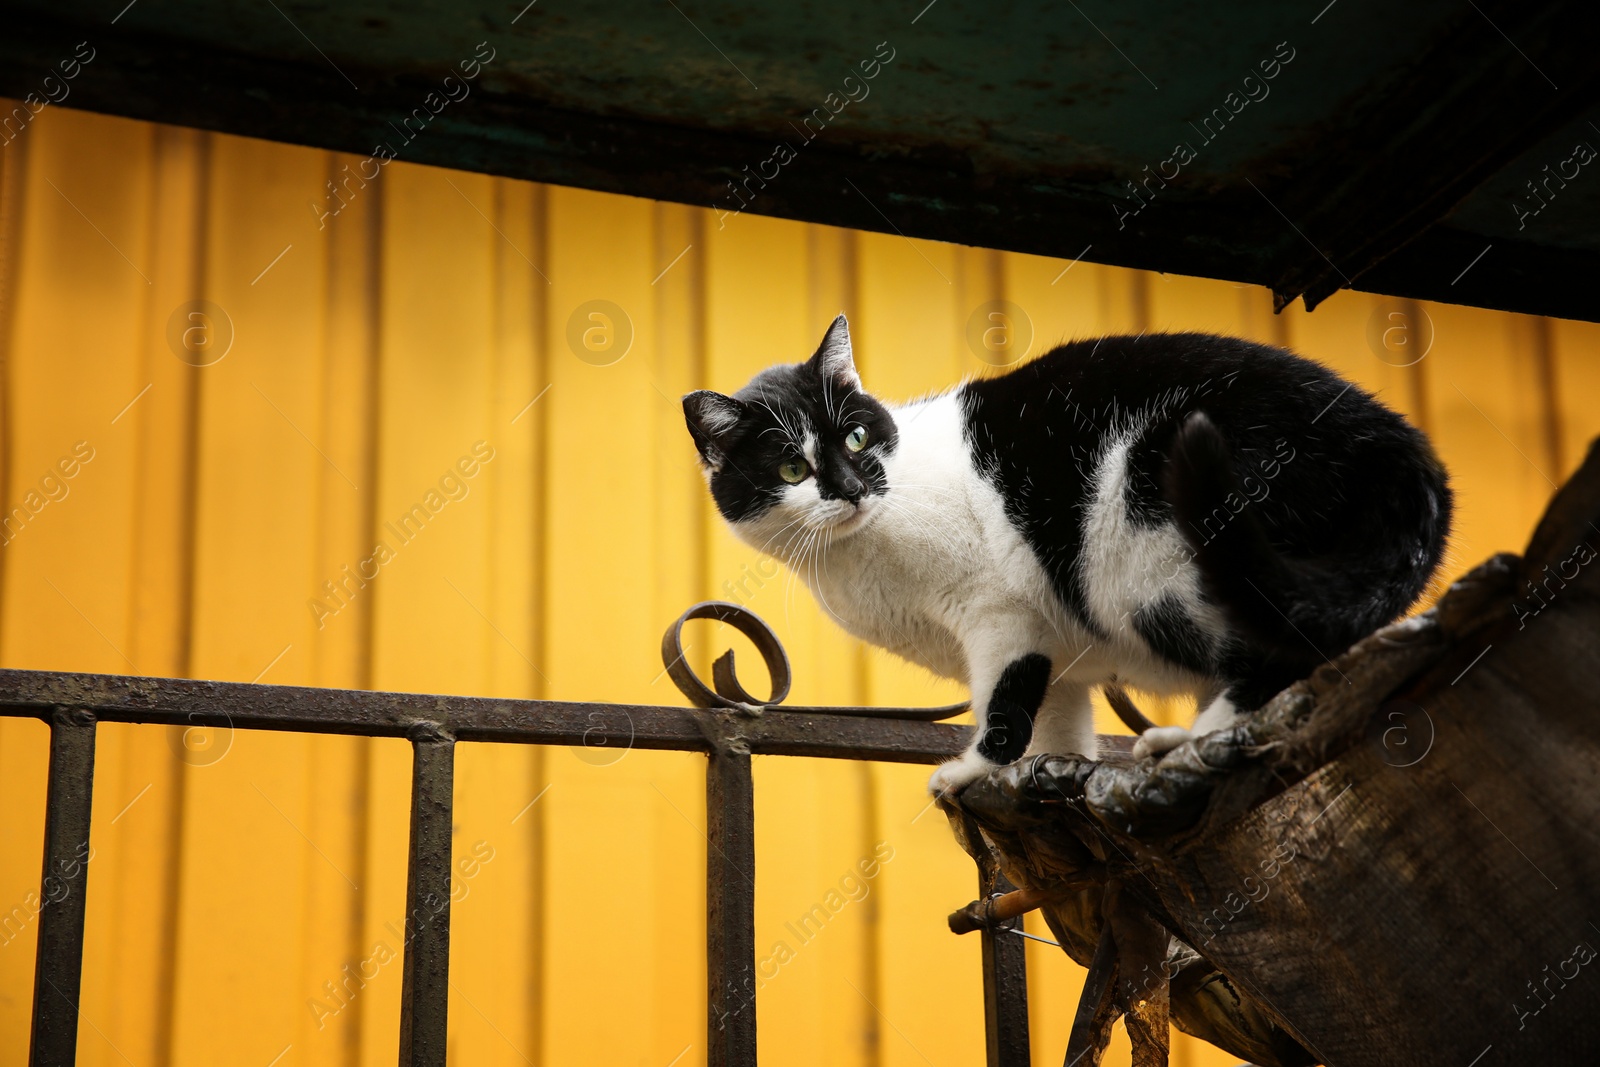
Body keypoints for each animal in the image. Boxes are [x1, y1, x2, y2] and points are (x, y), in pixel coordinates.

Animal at [681, 313, 1459, 796]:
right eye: (791, 468)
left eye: (855, 438)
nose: (847, 488)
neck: (859, 552)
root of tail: (1396, 442)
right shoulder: (1055, 650)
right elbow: (1056, 720)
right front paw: (1054, 774)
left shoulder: (999, 617)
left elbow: (1003, 702)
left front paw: (973, 771)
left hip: (1162, 552)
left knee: (1275, 659)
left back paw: (1186, 742)